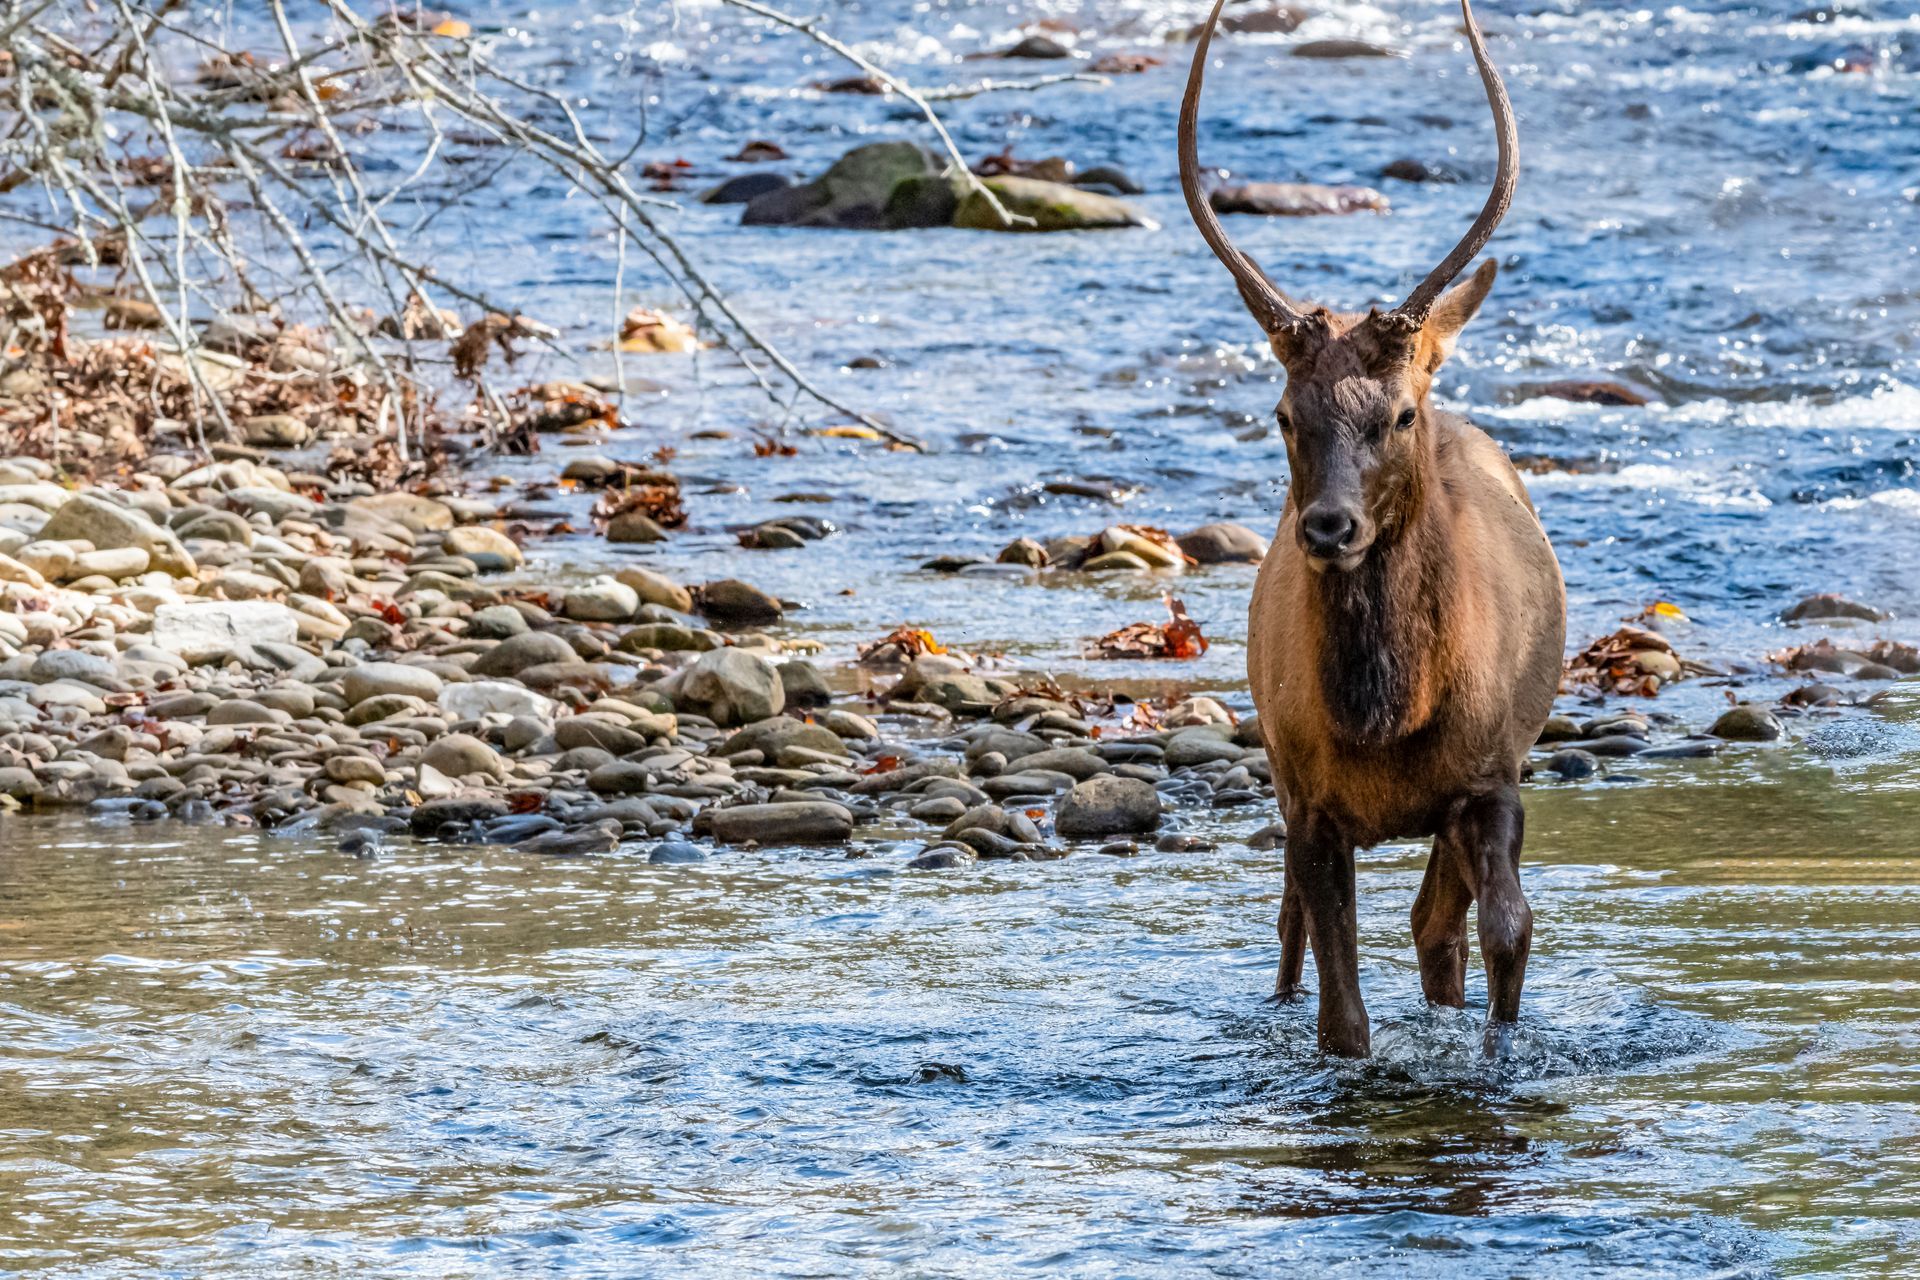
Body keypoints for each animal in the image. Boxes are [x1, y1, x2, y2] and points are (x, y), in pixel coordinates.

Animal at [1179, 0, 1566, 1058]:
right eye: (1283, 414)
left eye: (1397, 414)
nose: (1328, 527)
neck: (1389, 711)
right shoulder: (1308, 800)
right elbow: (1340, 1006)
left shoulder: (1491, 778)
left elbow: (1508, 929)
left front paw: (1497, 1054)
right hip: (1277, 775)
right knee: (1291, 929)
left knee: (1437, 925)